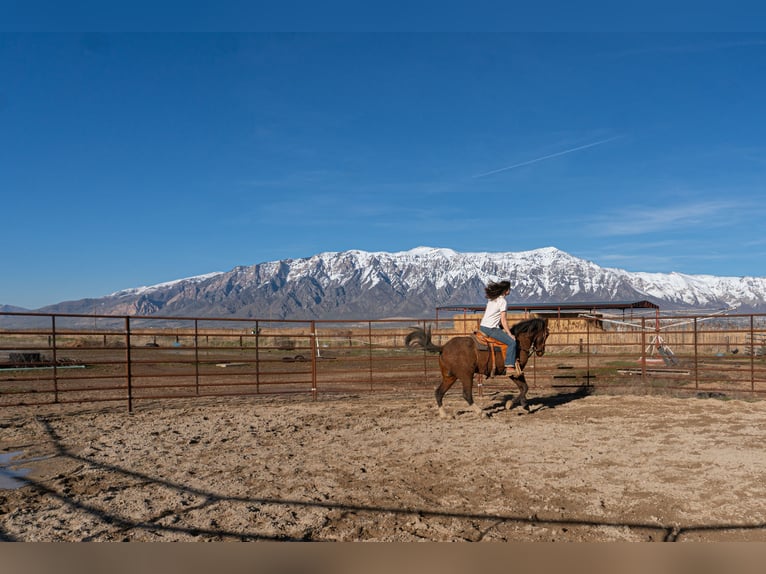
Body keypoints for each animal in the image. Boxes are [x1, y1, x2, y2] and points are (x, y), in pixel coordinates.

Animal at [404, 320, 548, 418]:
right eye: (546, 334)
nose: (541, 352)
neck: (518, 343)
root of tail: (443, 347)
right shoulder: (514, 372)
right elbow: (524, 388)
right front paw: (510, 404)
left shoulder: (517, 373)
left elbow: (524, 387)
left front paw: (525, 405)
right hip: (466, 375)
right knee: (466, 394)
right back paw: (481, 412)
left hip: (449, 377)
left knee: (439, 392)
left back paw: (445, 415)